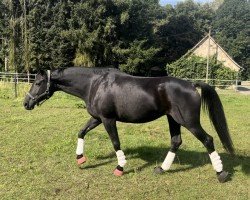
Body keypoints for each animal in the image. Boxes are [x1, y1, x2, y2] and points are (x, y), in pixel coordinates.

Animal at [23, 66, 234, 182]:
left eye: (38, 82)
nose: (26, 103)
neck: (94, 84)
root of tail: (191, 85)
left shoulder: (108, 119)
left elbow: (116, 143)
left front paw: (120, 167)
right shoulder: (97, 118)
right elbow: (81, 132)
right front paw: (80, 159)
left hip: (189, 121)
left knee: (208, 140)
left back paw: (221, 173)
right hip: (173, 119)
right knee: (176, 141)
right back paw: (161, 169)